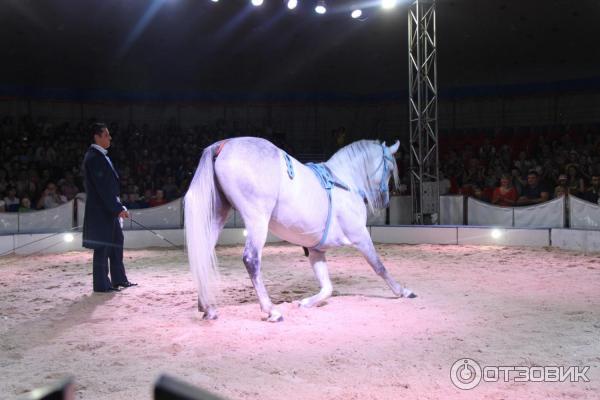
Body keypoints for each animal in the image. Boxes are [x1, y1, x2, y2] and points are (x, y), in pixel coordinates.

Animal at [185, 138, 414, 322]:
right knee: (251, 259)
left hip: (217, 215)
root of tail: (224, 145)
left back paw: (208, 307)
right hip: (257, 219)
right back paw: (271, 310)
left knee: (203, 256)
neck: (343, 182)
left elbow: (327, 288)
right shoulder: (360, 236)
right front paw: (402, 291)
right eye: (390, 169)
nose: (385, 201)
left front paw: (306, 303)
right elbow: (379, 266)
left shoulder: (316, 250)